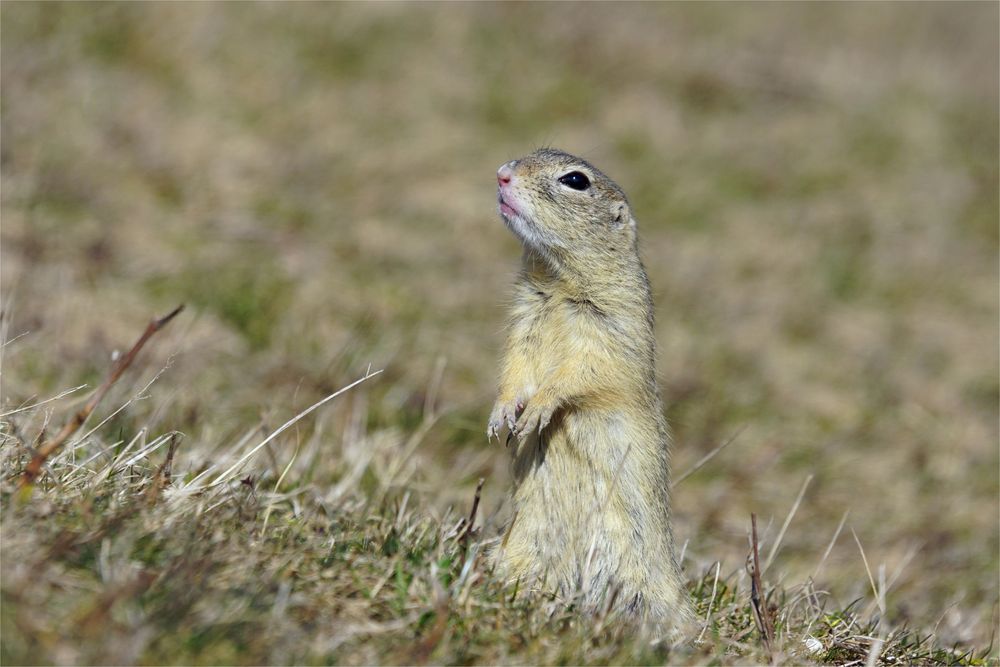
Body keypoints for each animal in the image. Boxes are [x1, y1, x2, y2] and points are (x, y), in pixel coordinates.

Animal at [486, 149, 692, 636]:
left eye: (575, 181)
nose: (501, 174)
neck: (558, 282)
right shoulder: (524, 320)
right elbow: (515, 367)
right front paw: (502, 416)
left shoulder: (610, 326)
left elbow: (581, 373)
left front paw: (536, 412)